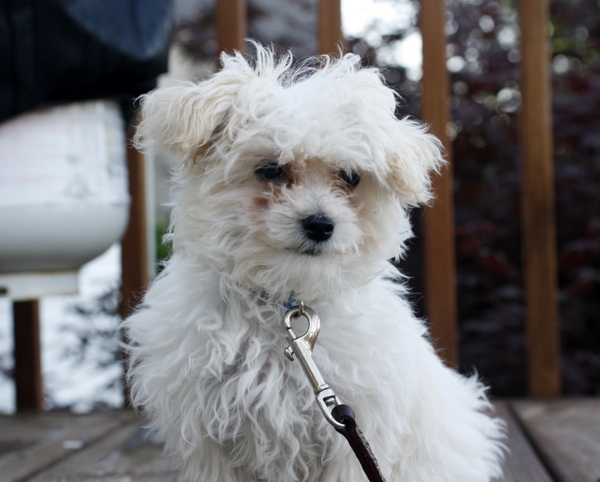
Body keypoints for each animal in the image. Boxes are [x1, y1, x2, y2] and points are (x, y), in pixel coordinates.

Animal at [124, 44, 504, 478]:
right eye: (271, 170)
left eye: (350, 177)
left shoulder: (355, 431)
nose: (321, 224)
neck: (285, 302)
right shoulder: (206, 437)